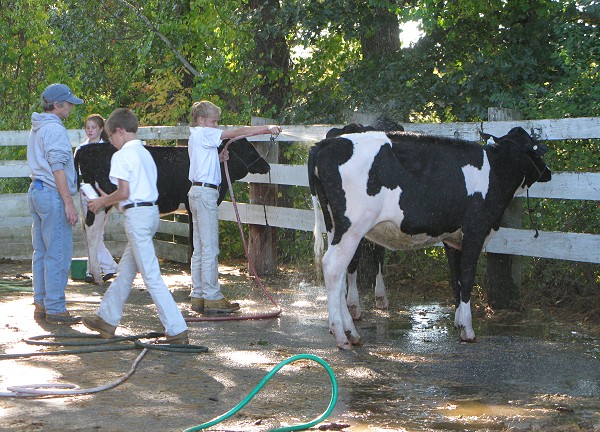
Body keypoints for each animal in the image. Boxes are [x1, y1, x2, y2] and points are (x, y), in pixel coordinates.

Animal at [75, 140, 270, 286]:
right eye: (249, 149)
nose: (266, 165)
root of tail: (87, 148)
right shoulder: (192, 207)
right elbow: (194, 240)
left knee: (89, 230)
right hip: (101, 202)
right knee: (92, 232)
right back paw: (97, 276)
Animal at [312, 126, 552, 350]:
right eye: (533, 147)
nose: (548, 172)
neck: (496, 170)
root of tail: (325, 144)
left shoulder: (452, 238)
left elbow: (456, 280)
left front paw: (458, 323)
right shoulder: (475, 231)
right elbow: (467, 278)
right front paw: (468, 330)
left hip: (334, 227)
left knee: (339, 273)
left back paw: (350, 332)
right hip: (352, 228)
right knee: (333, 267)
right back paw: (342, 335)